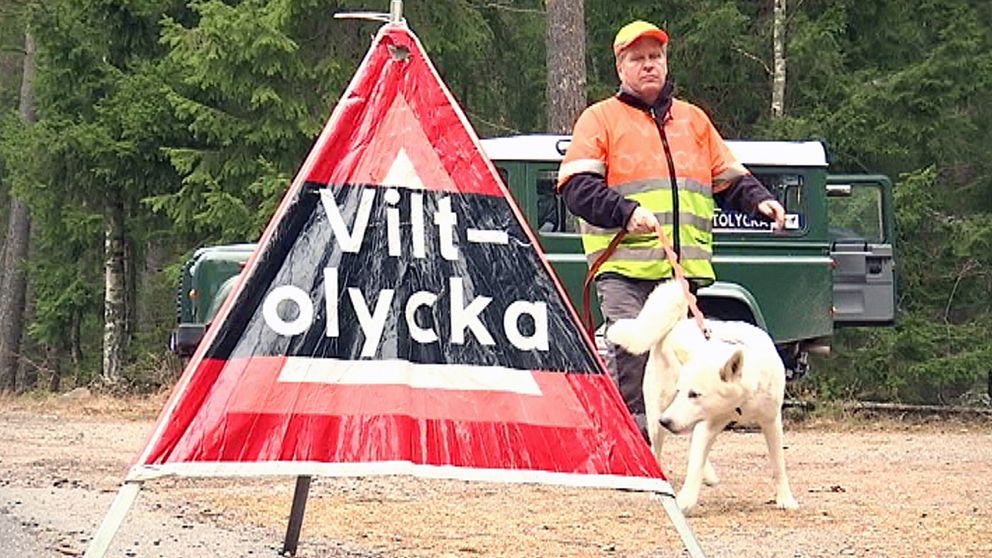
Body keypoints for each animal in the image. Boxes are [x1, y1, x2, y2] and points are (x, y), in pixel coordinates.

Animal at [604, 282, 800, 516]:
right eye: (681, 391)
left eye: (694, 394)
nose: (666, 421)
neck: (740, 403)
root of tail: (676, 325)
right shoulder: (707, 425)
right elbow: (694, 464)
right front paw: (685, 502)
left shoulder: (771, 422)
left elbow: (778, 464)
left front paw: (785, 499)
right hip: (657, 416)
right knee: (657, 450)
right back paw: (657, 488)